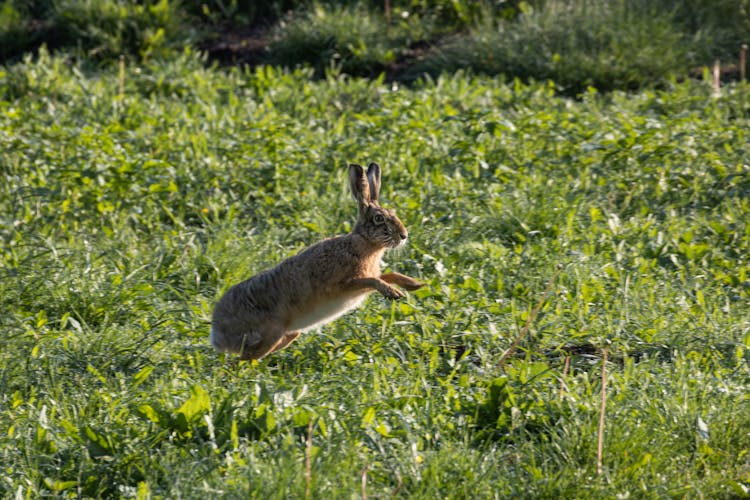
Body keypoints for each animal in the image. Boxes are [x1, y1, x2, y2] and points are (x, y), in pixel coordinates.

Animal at [212, 162, 426, 362]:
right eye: (379, 218)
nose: (404, 235)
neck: (364, 243)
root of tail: (217, 334)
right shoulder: (343, 285)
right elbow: (373, 280)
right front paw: (393, 293)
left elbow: (387, 275)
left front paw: (414, 285)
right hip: (268, 334)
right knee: (241, 360)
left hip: (284, 335)